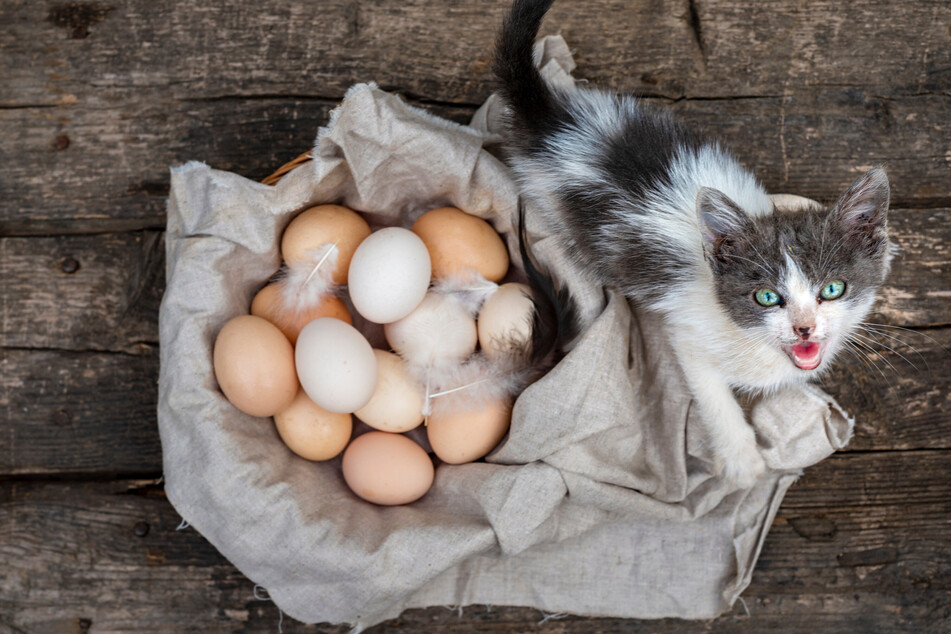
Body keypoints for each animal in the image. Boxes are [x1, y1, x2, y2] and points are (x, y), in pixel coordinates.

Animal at [494, 0, 896, 486]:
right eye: (767, 297)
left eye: (832, 289)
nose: (804, 329)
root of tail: (551, 121)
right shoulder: (688, 333)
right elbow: (712, 395)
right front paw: (743, 463)